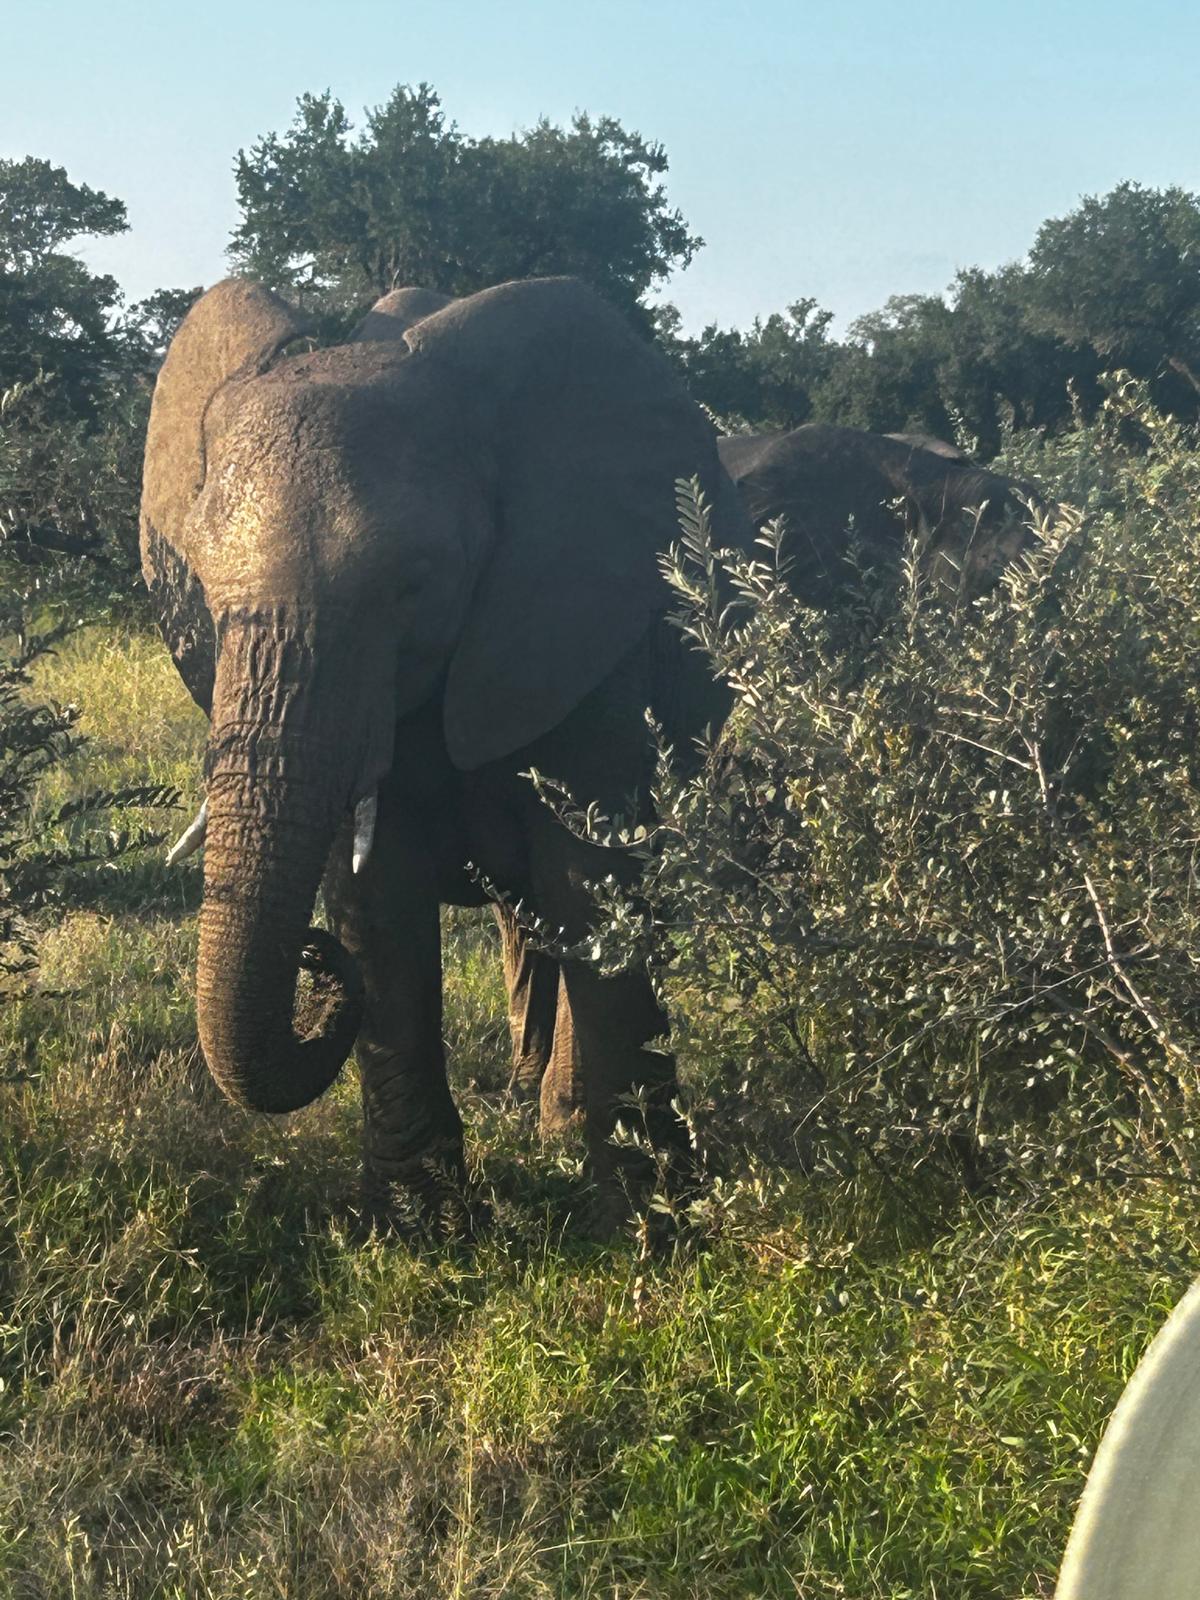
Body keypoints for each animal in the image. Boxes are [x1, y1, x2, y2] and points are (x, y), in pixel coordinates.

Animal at [142, 272, 751, 1232]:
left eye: (416, 583)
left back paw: (561, 1128)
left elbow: (591, 874)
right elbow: (375, 896)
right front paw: (416, 1226)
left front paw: (652, 1225)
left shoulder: (581, 620)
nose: (312, 962)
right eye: (198, 583)